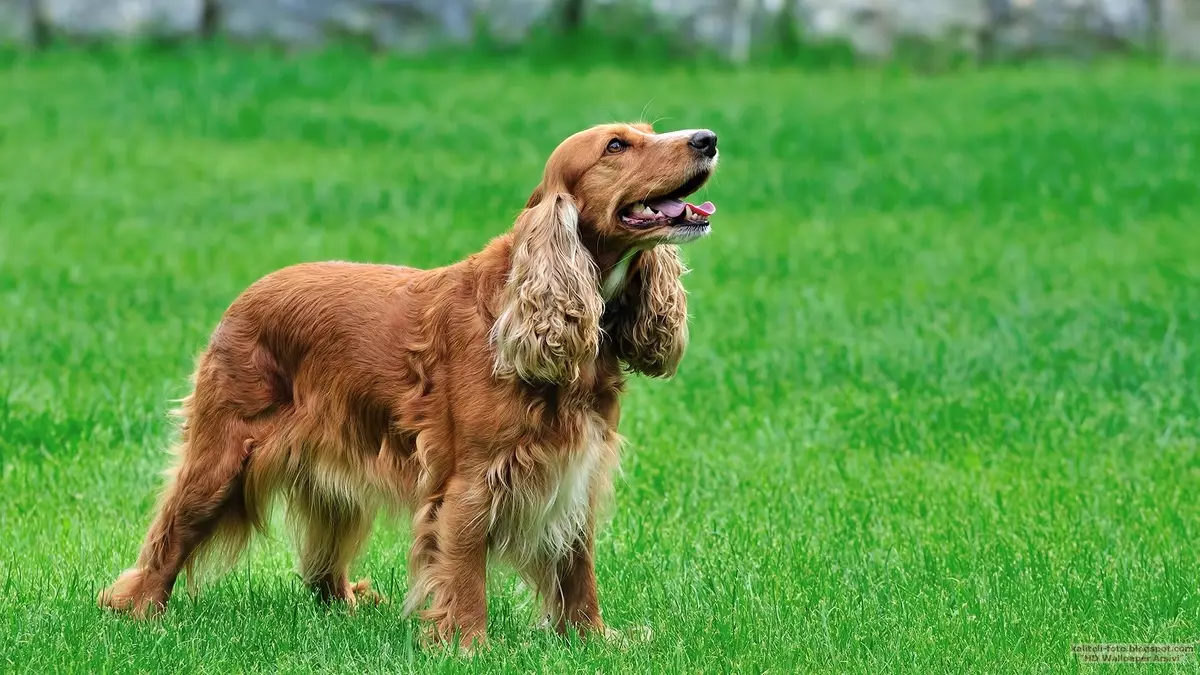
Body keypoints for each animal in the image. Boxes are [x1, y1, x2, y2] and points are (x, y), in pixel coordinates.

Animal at [98, 121, 715, 648]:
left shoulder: (576, 468)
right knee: (169, 536)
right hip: (223, 455)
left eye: (650, 131)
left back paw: (347, 604)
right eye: (616, 146)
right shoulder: (471, 479)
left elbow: (577, 566)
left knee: (322, 565)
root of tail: (244, 297)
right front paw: (469, 646)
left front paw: (592, 639)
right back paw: (138, 610)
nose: (707, 138)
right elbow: (464, 570)